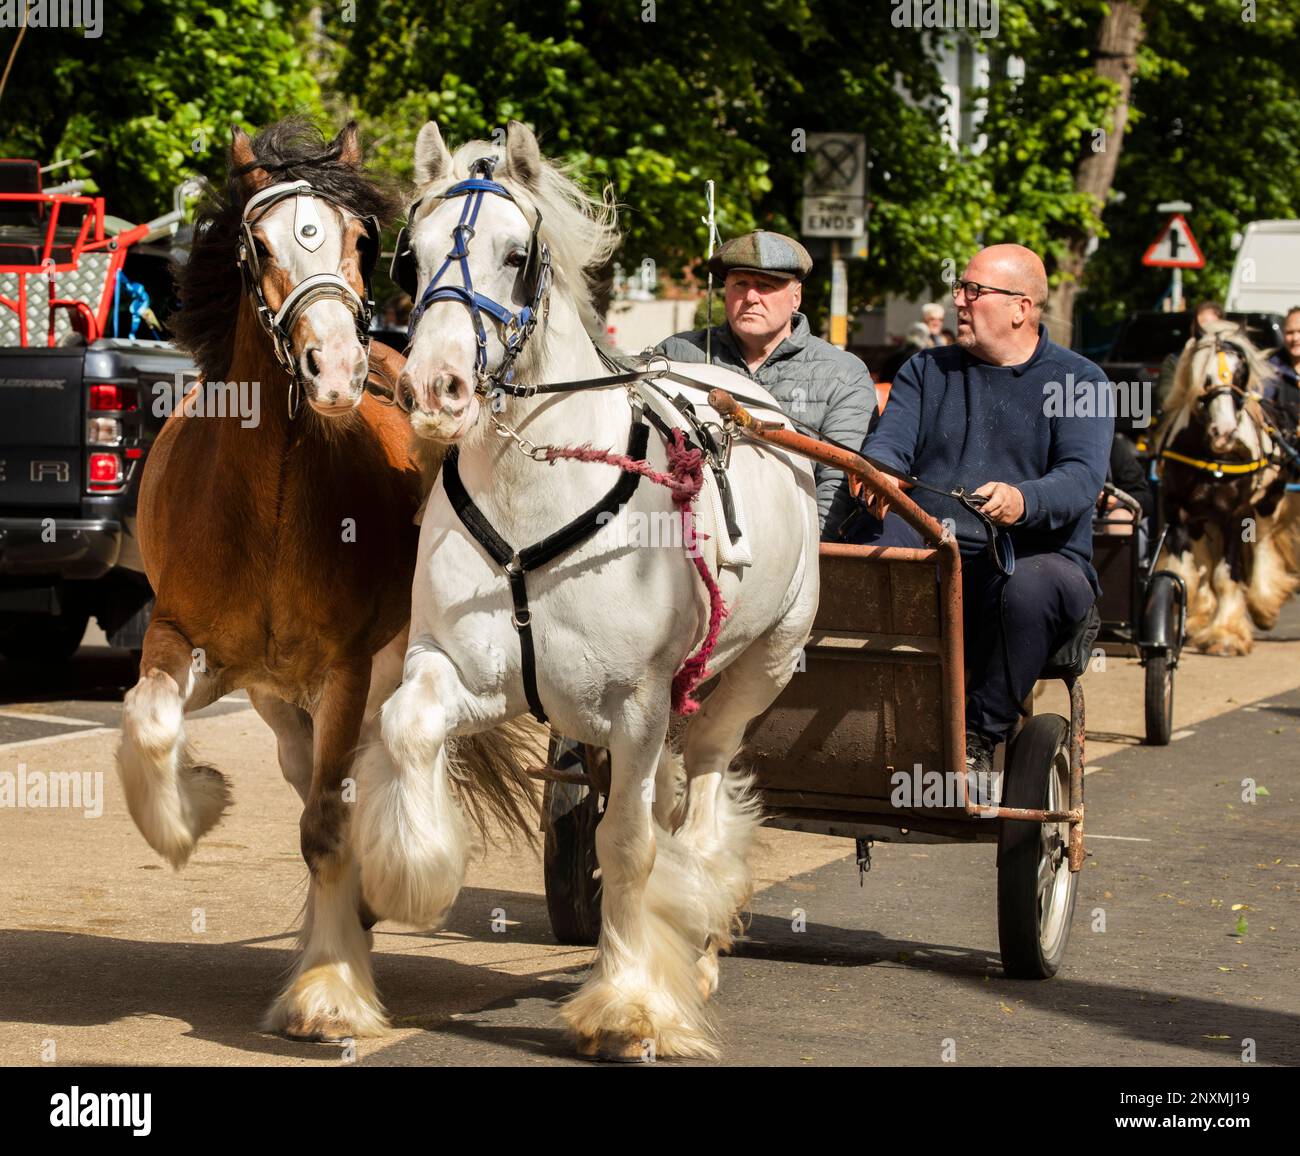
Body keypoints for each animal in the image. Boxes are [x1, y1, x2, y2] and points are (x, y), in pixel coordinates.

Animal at [115, 121, 533, 1040]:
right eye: (257, 246)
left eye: (362, 242)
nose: (336, 368)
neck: (269, 501)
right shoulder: (181, 637)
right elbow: (149, 722)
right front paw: (193, 806)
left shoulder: (346, 671)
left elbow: (326, 826)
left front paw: (329, 990)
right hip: (279, 703)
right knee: (308, 772)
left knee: (352, 786)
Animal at [351, 121, 816, 1061]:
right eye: (412, 259)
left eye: (517, 254)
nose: (435, 388)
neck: (534, 494)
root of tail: (745, 395)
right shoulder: (465, 668)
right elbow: (408, 726)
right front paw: (412, 871)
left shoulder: (637, 703)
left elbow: (629, 843)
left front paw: (630, 1004)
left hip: (759, 667)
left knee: (703, 789)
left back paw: (696, 940)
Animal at [1159, 319, 1300, 652]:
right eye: (1204, 376)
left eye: (1241, 373)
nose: (1224, 433)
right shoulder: (1177, 511)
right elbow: (1184, 573)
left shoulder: (1234, 517)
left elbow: (1226, 575)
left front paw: (1225, 635)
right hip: (1201, 517)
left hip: (1267, 503)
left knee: (1262, 545)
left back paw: (1263, 606)